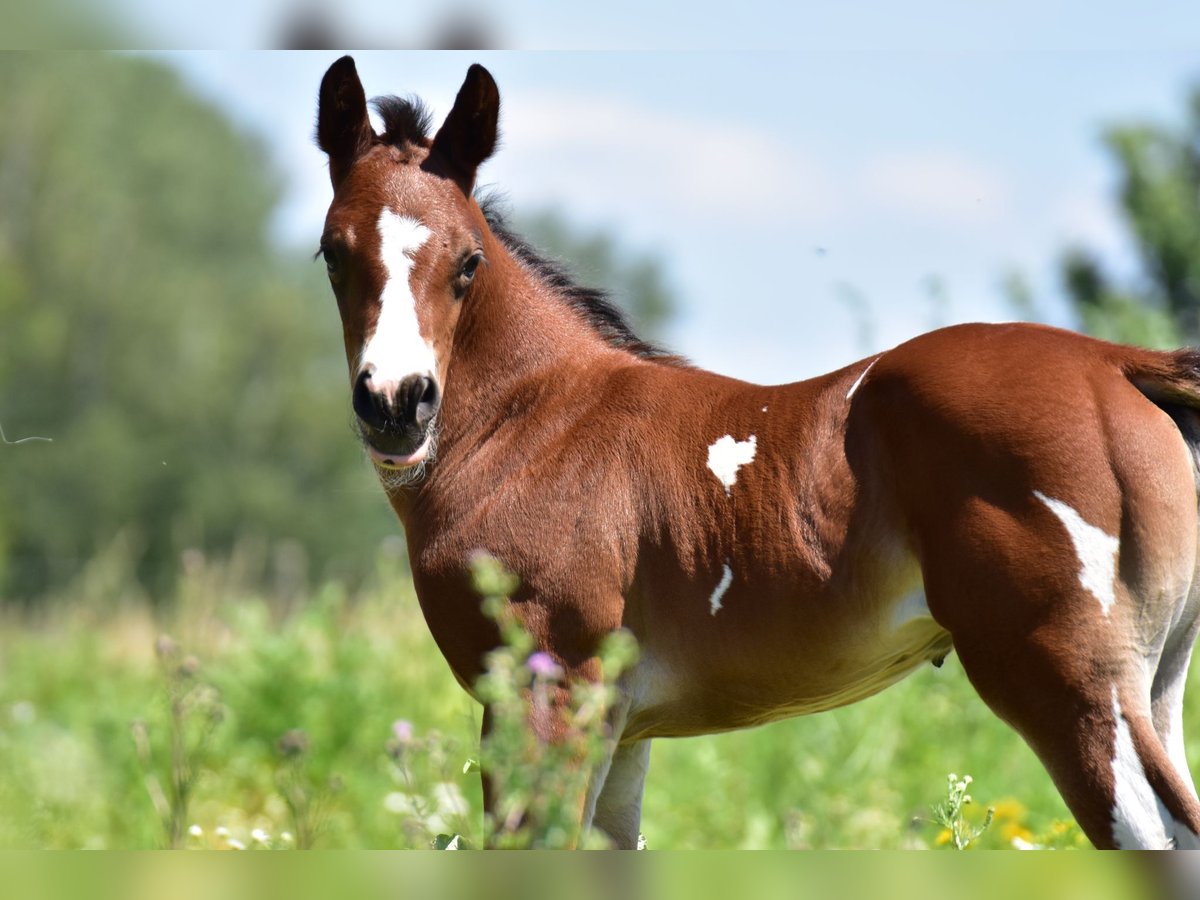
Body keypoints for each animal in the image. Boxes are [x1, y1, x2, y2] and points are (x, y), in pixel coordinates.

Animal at [314, 58, 1200, 854]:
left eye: (468, 261)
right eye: (332, 252)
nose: (395, 404)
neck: (537, 424)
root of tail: (1112, 362)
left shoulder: (547, 693)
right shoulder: (620, 728)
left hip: (1069, 681)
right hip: (1152, 686)